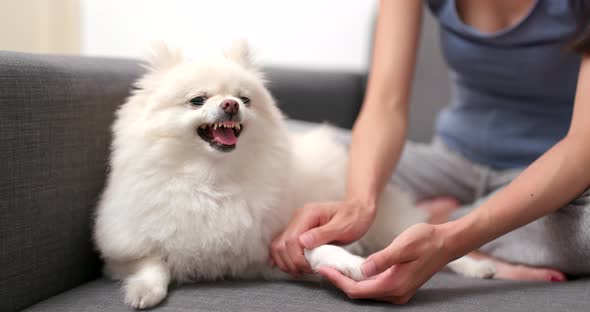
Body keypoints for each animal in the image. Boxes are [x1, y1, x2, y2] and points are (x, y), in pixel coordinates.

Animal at [95, 41, 498, 310]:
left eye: (245, 98)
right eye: (197, 100)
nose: (230, 104)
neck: (214, 180)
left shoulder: (277, 240)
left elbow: (320, 248)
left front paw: (352, 265)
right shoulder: (128, 248)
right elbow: (153, 263)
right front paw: (142, 291)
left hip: (389, 226)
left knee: (431, 237)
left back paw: (479, 268)